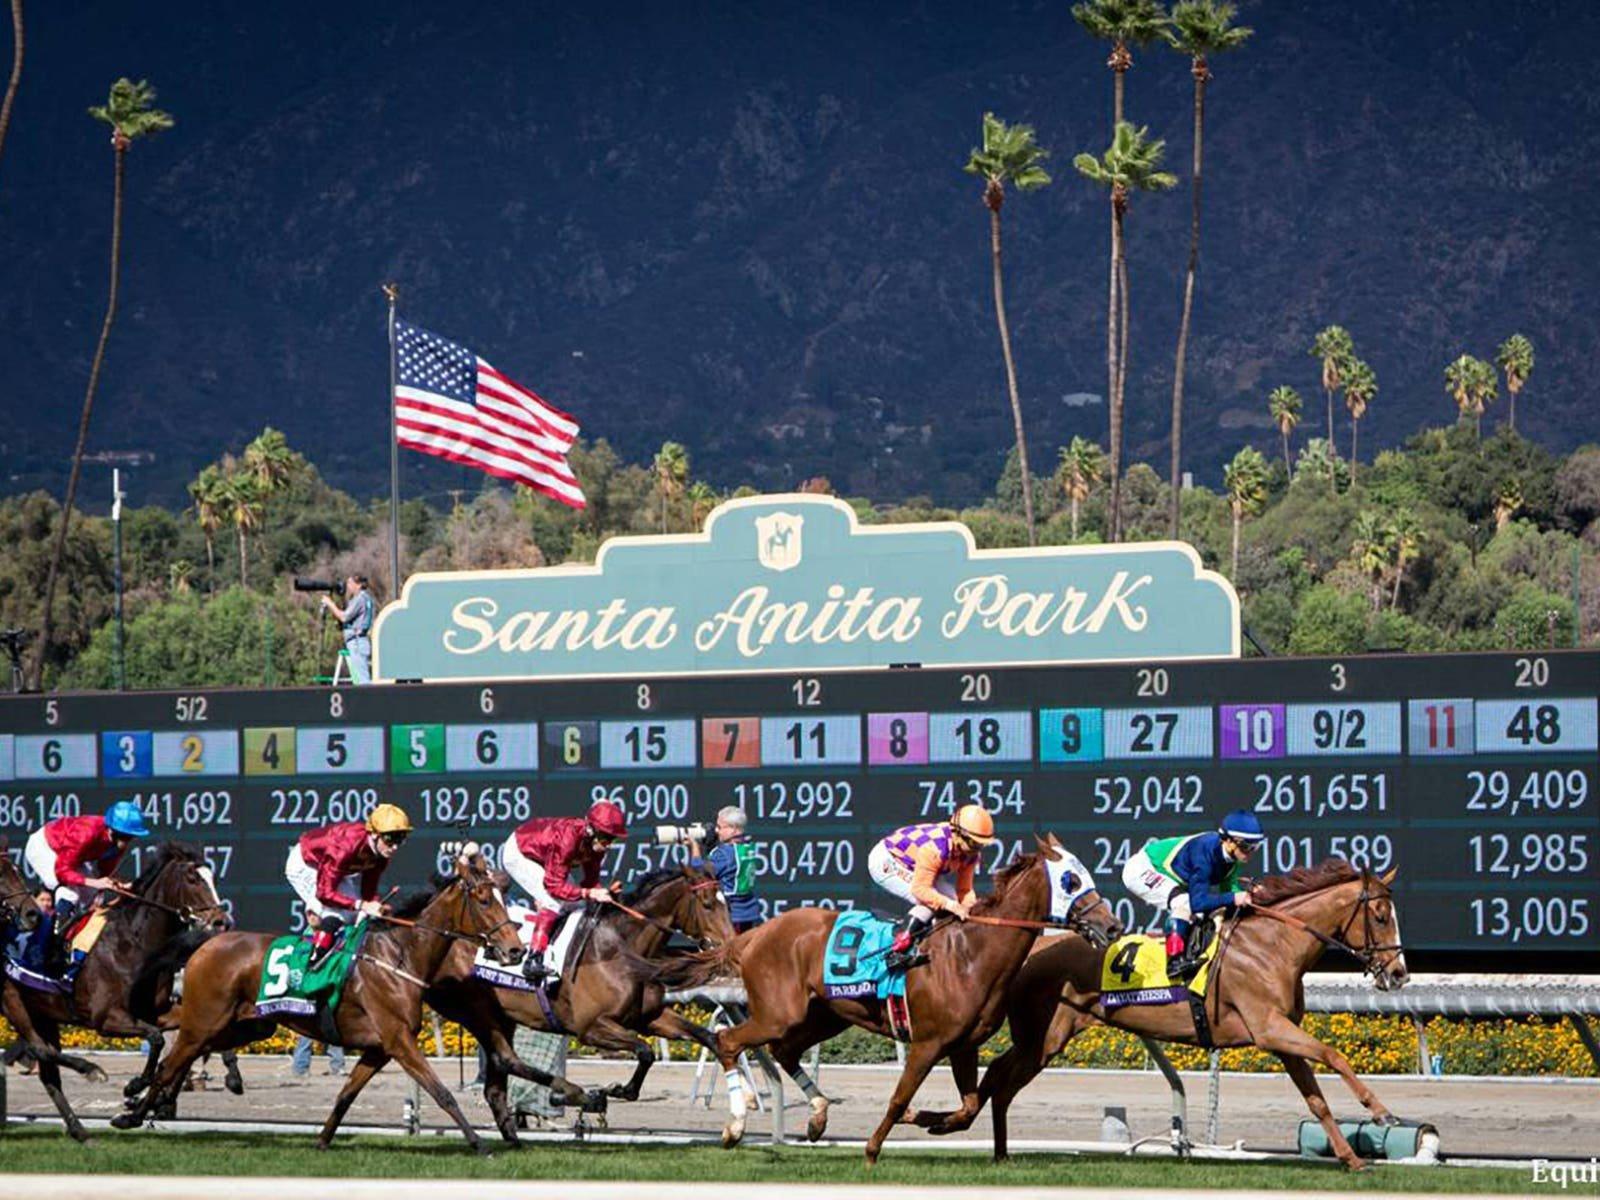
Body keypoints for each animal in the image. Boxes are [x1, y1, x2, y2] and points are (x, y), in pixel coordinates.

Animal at [0, 838, 232, 1139]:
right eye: (193, 878)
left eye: (212, 877)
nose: (221, 921)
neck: (133, 942)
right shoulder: (106, 1018)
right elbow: (156, 1038)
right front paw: (135, 1086)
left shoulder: (156, 1011)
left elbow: (183, 1039)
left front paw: (157, 1098)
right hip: (12, 1002)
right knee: (40, 1049)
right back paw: (92, 1071)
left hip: (42, 1012)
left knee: (48, 1072)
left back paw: (80, 1131)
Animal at [114, 844, 524, 1158]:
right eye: (484, 900)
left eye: (503, 899)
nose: (515, 949)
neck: (400, 956)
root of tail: (207, 943)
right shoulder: (399, 1041)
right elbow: (442, 1093)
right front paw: (479, 1144)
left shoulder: (379, 1048)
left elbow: (346, 1095)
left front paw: (323, 1140)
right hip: (204, 1020)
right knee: (171, 1061)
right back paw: (133, 1111)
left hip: (245, 1027)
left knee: (181, 1059)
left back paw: (149, 1102)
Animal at [425, 864, 736, 1145]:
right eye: (708, 904)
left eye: (727, 902)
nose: (731, 945)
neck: (620, 949)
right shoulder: (591, 1028)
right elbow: (645, 1051)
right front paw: (611, 1091)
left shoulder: (649, 1017)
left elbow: (704, 1037)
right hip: (476, 1013)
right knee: (502, 1061)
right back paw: (571, 1095)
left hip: (501, 1018)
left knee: (495, 1085)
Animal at [656, 838, 1120, 1164]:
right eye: (1071, 881)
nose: (1112, 925)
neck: (972, 953)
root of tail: (754, 935)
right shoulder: (928, 1044)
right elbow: (899, 1099)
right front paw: (873, 1149)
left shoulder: (964, 1046)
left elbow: (969, 1107)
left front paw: (929, 1122)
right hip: (779, 1013)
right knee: (729, 1041)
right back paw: (735, 1128)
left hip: (827, 1015)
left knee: (783, 1050)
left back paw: (817, 1116)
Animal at [921, 864, 1408, 1177]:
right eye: (1381, 916)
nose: (1400, 974)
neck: (1273, 944)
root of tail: (1032, 950)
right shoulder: (1270, 1028)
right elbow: (1335, 1055)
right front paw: (1381, 1113)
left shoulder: (1281, 1038)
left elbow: (1316, 1100)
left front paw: (1351, 1158)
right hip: (1040, 1038)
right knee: (998, 1079)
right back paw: (956, 1126)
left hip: (1045, 1041)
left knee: (1001, 1082)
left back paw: (993, 1147)